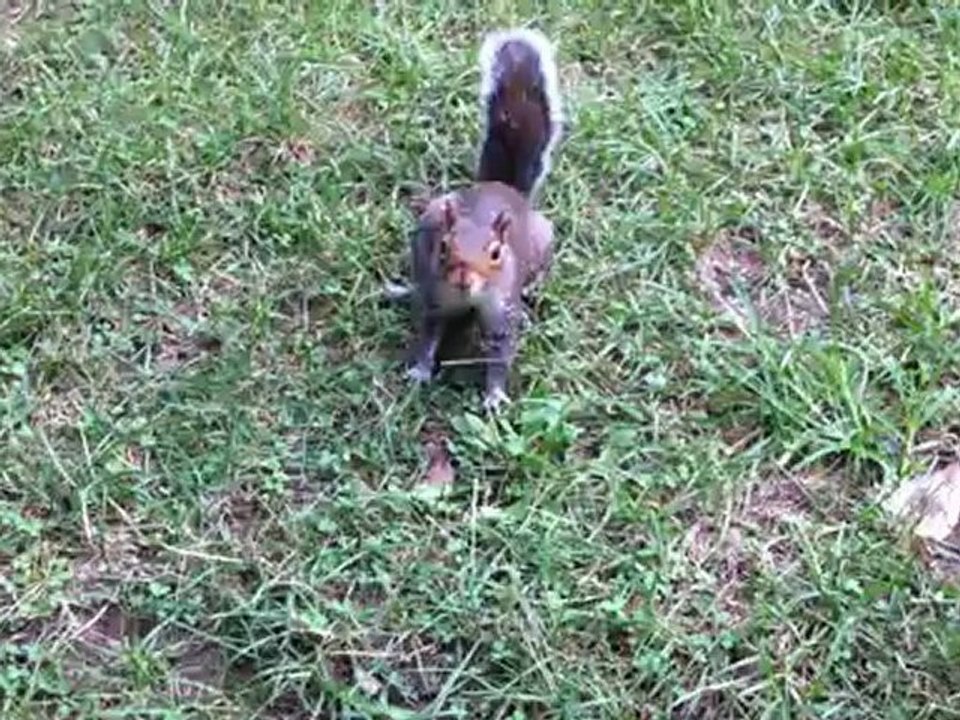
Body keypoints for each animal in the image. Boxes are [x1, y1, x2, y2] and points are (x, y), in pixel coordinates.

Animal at [399, 27, 565, 412]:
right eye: (444, 246)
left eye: (496, 253)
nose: (463, 280)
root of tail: (503, 188)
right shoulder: (436, 298)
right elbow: (429, 335)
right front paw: (420, 371)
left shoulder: (502, 309)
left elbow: (500, 353)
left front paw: (494, 397)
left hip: (544, 240)